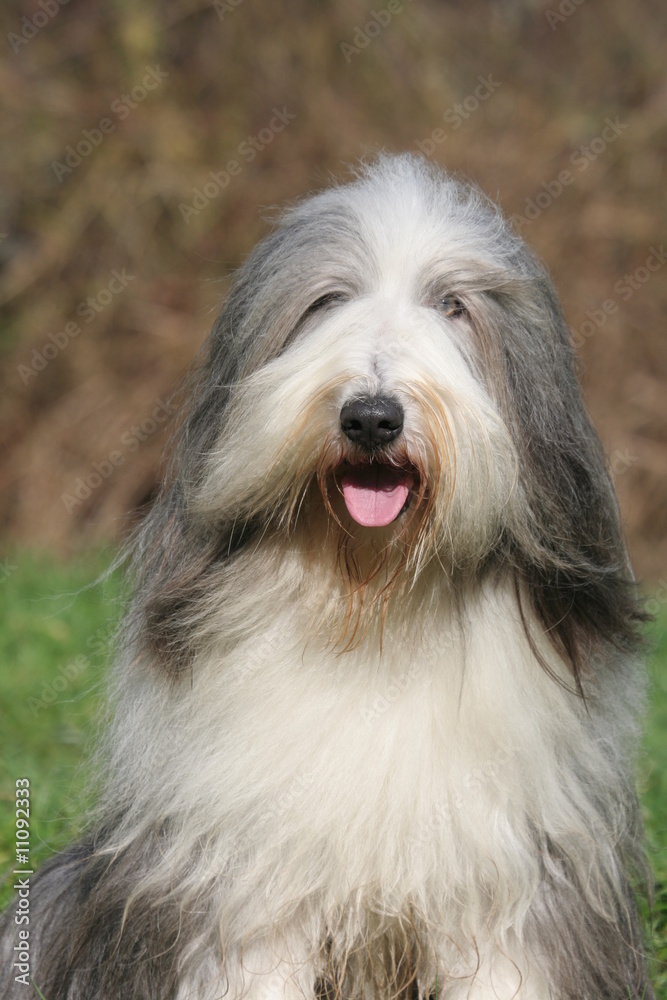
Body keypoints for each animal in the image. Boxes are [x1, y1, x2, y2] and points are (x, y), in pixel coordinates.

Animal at [0, 154, 656, 1000]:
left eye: (452, 305)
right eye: (328, 300)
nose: (371, 417)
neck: (372, 602)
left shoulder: (513, 879)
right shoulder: (246, 878)